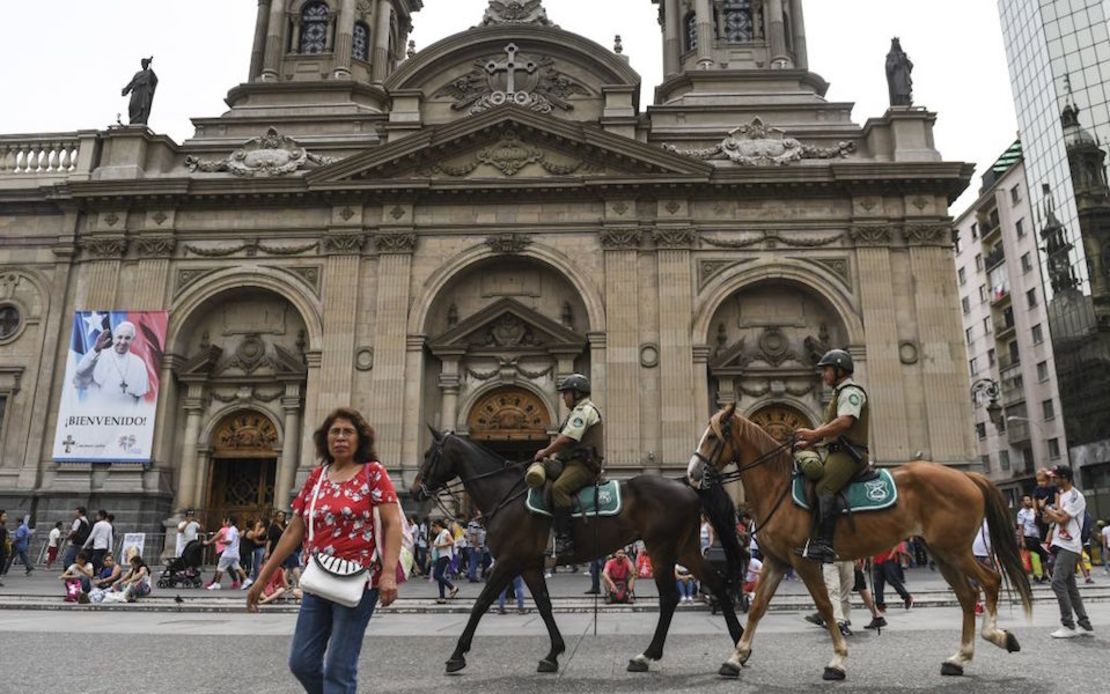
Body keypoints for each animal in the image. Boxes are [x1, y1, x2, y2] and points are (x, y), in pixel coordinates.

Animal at [412, 430, 741, 675]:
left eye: (429, 455)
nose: (415, 490)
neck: (506, 495)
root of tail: (686, 483)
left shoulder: (507, 562)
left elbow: (480, 604)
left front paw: (457, 654)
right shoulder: (529, 565)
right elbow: (544, 606)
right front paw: (553, 653)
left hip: (662, 549)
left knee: (671, 597)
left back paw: (648, 655)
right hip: (684, 549)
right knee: (716, 584)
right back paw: (738, 645)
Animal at [683, 404, 1030, 679]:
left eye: (712, 436)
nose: (692, 473)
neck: (778, 488)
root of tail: (968, 477)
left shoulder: (802, 561)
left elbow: (824, 605)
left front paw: (838, 660)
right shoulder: (776, 561)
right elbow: (757, 608)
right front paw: (736, 658)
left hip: (955, 549)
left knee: (991, 580)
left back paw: (996, 635)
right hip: (942, 552)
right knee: (968, 596)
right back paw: (959, 659)